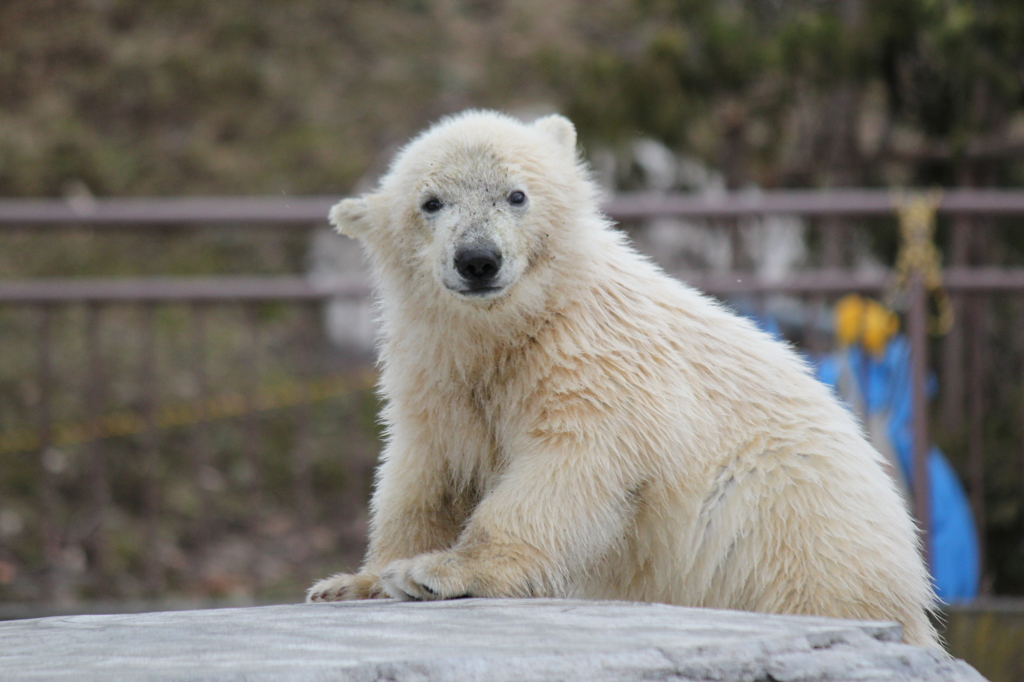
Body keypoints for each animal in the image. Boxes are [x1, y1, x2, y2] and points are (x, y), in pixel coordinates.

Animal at [307, 109, 937, 647]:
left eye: (517, 194)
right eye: (431, 202)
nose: (478, 259)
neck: (515, 330)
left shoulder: (596, 363)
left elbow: (572, 463)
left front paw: (439, 571)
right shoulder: (437, 380)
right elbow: (427, 475)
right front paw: (352, 582)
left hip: (791, 531)